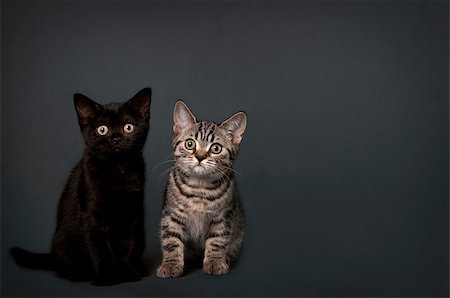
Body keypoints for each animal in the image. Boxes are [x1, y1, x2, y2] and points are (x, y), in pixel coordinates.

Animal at [10, 87, 151, 286]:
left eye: (128, 127)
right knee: (60, 266)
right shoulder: (92, 216)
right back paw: (77, 274)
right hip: (63, 242)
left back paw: (140, 268)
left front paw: (126, 273)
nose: (116, 137)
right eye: (102, 130)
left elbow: (127, 245)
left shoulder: (131, 214)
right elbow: (101, 249)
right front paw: (106, 277)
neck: (117, 168)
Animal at [156, 100, 248, 278]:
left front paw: (215, 262)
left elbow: (218, 240)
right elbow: (171, 240)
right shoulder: (171, 215)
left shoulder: (223, 217)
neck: (199, 188)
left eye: (216, 148)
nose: (199, 157)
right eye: (190, 143)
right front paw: (171, 265)